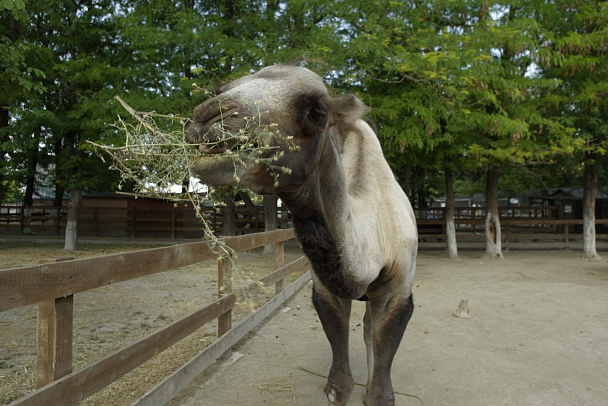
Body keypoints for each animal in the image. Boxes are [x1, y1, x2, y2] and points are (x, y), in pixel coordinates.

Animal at [185, 64, 416, 406]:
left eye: (316, 112)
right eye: (221, 88)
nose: (208, 117)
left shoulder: (398, 291)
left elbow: (381, 372)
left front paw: (378, 392)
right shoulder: (325, 287)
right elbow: (339, 377)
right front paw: (342, 386)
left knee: (368, 328)